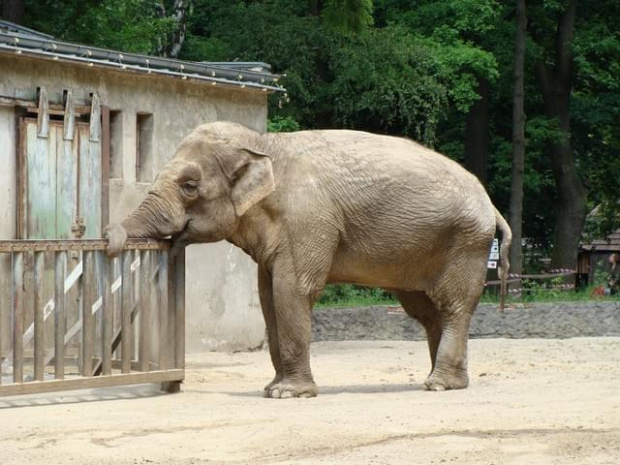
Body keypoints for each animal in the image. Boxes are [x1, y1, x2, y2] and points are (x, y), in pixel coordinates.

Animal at [106, 121, 512, 396]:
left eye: (189, 186)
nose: (109, 240)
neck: (263, 143)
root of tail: (491, 205)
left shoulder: (308, 219)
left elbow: (293, 290)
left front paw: (288, 394)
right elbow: (267, 296)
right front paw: (272, 389)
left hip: (466, 243)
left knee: (452, 305)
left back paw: (439, 385)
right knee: (426, 311)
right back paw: (444, 381)